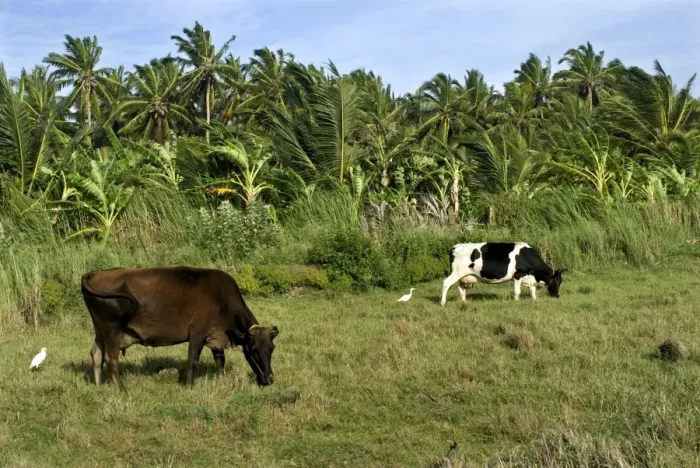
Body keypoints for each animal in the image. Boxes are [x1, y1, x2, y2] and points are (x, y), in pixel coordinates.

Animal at [80, 266, 280, 392]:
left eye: (271, 349)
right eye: (254, 351)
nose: (269, 379)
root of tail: (95, 273)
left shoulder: (215, 337)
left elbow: (220, 360)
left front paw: (221, 379)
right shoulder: (198, 334)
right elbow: (192, 361)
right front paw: (189, 385)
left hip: (100, 330)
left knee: (96, 353)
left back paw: (99, 385)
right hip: (111, 329)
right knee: (110, 359)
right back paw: (121, 389)